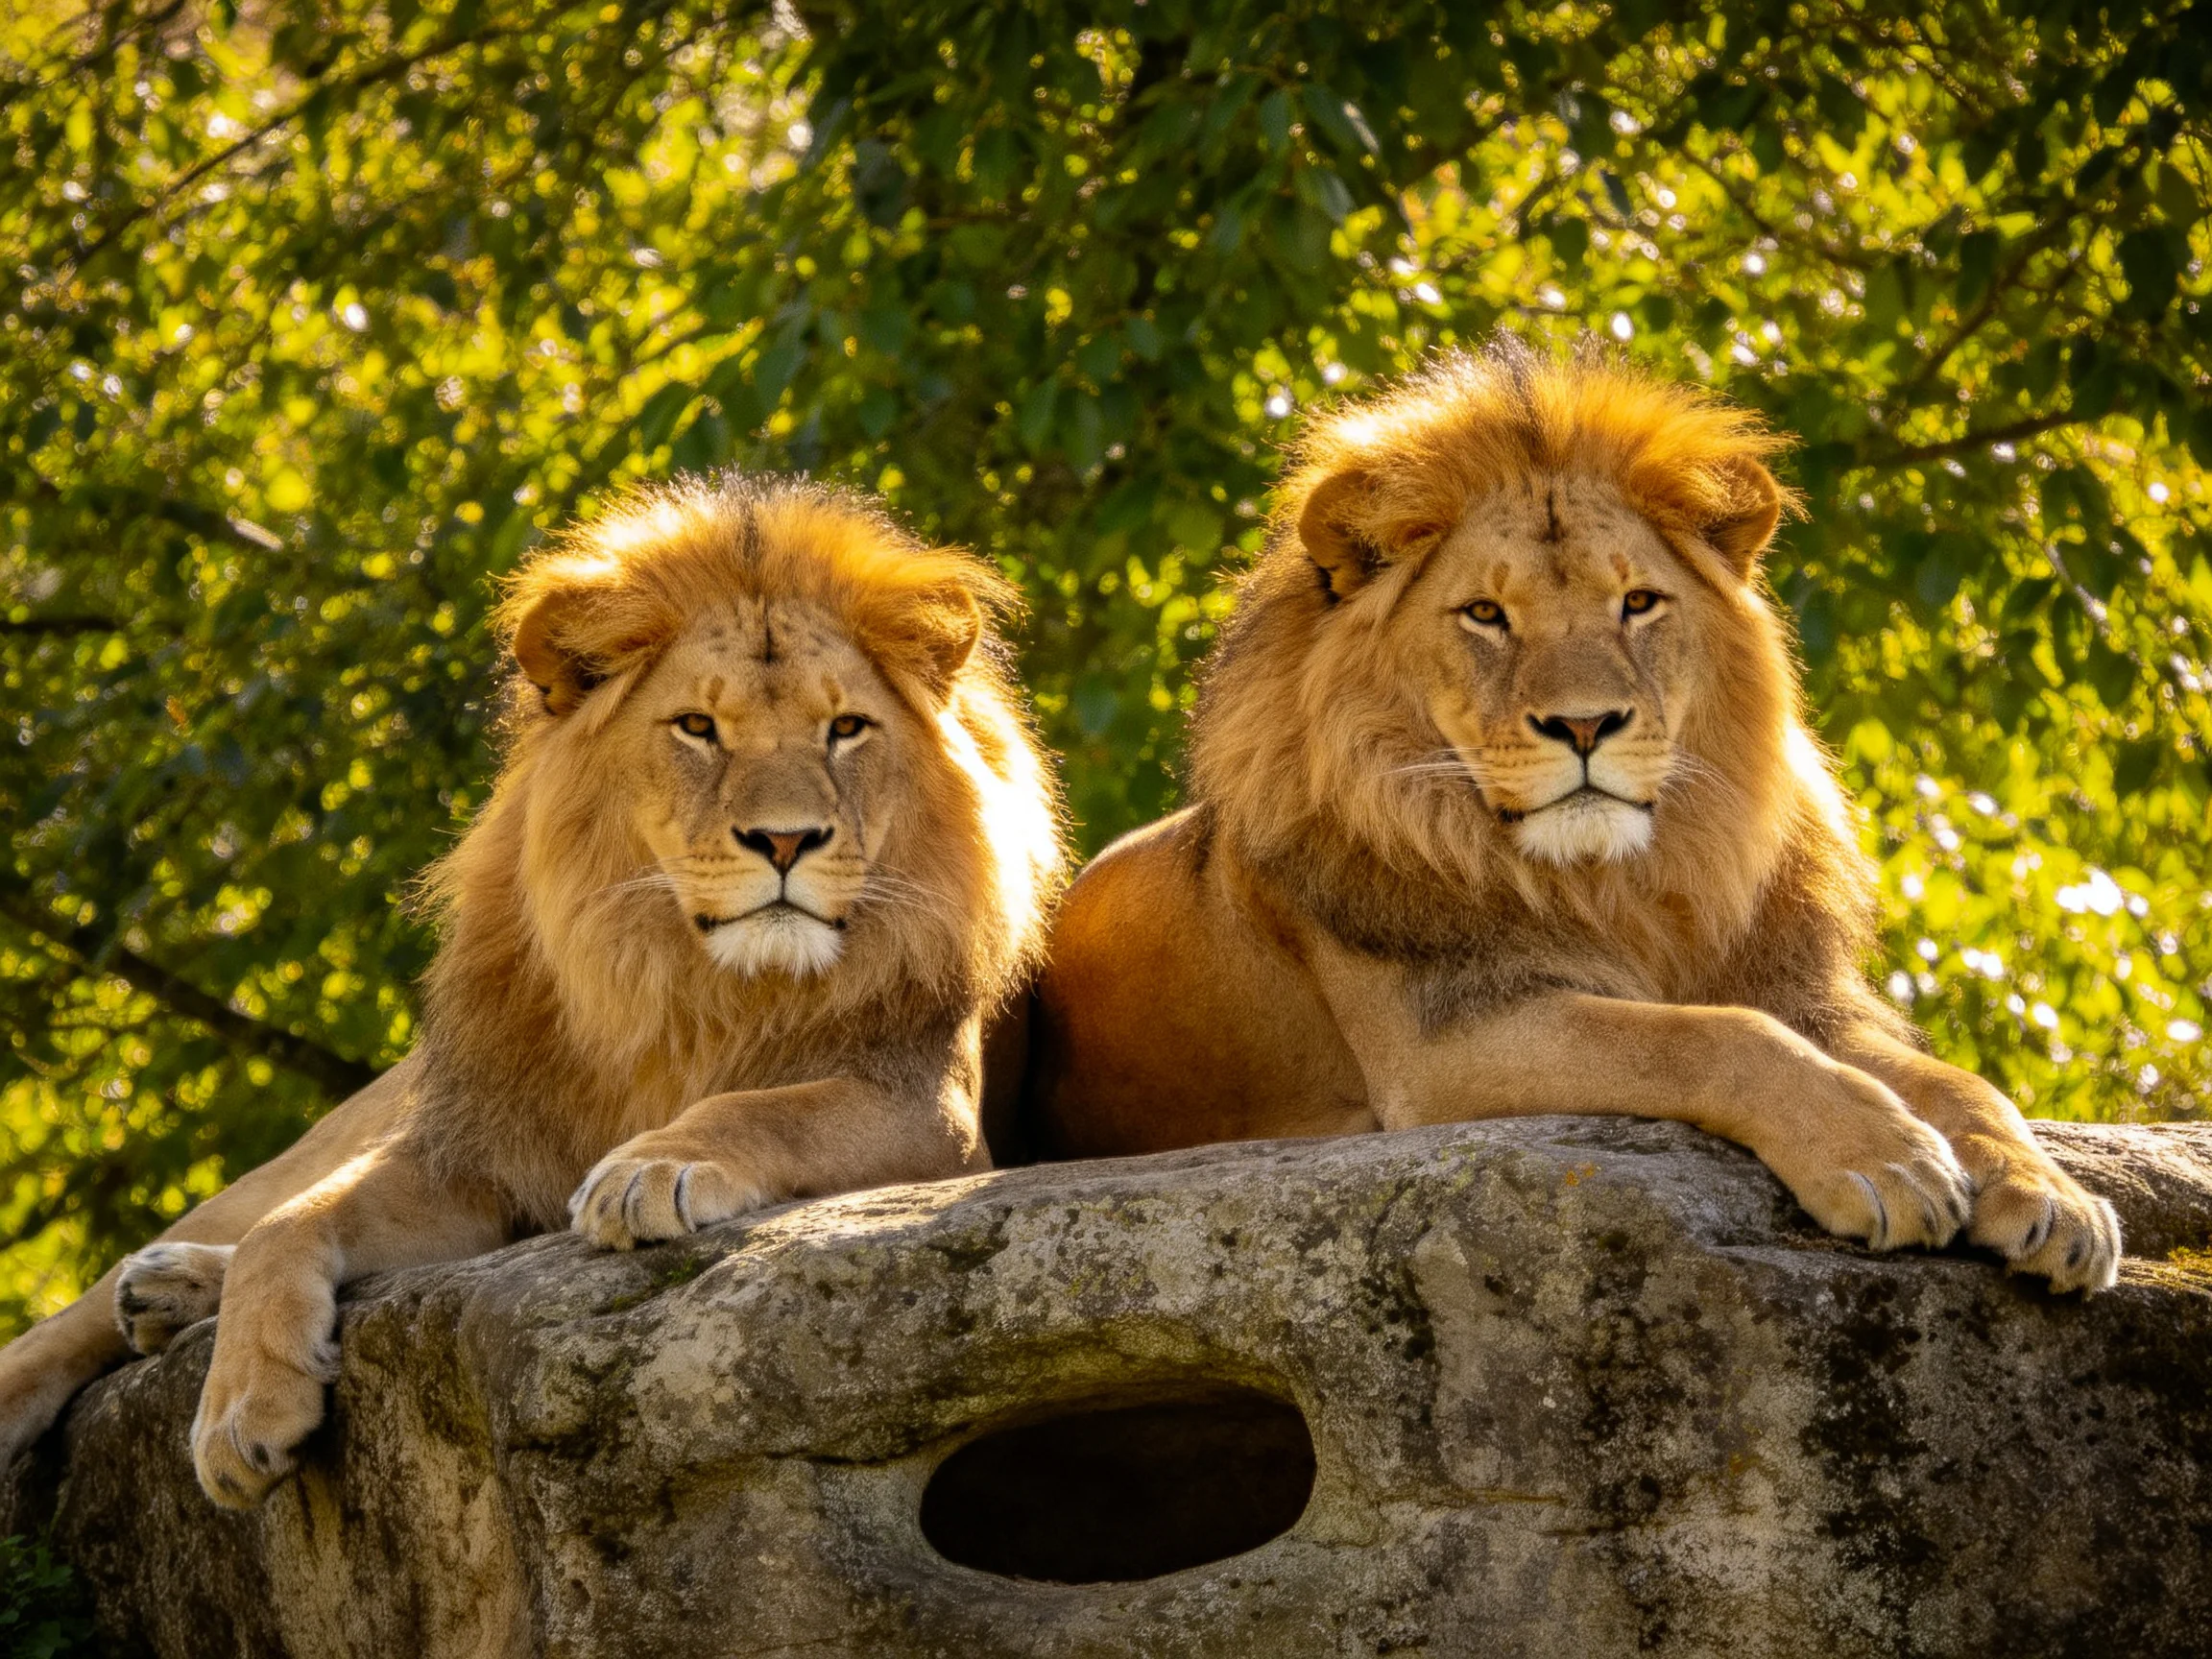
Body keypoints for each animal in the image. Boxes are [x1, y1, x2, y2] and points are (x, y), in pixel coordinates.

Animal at [0, 476, 1066, 1505]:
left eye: (846, 728)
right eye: (698, 728)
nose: (785, 840)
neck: (695, 987)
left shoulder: (936, 1121)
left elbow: (770, 1106)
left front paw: (649, 1167)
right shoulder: (472, 1152)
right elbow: (290, 1222)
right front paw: (240, 1409)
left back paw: (171, 1292)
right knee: (138, 1275)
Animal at [1029, 339, 2120, 1294]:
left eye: (1637, 603)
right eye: (1485, 614)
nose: (1586, 724)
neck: (1622, 882)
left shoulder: (1803, 995)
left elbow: (1962, 1083)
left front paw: (2053, 1196)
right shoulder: (1444, 1049)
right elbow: (1707, 1038)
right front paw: (1884, 1159)